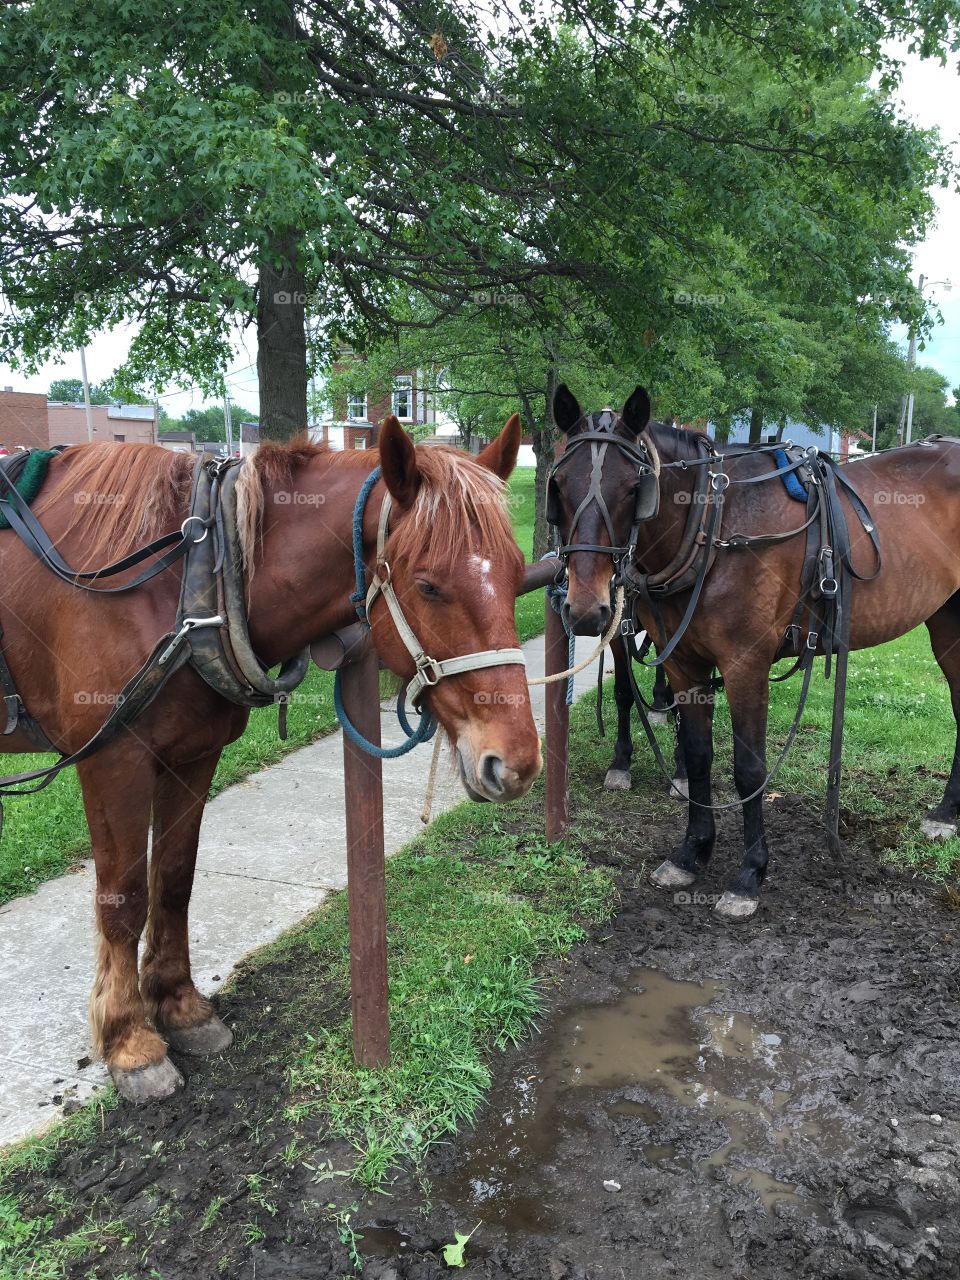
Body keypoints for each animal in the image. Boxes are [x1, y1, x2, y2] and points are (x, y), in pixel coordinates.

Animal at [0, 415, 541, 1102]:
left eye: (518, 572)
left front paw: (179, 1006)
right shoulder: (112, 760)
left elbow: (173, 878)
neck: (191, 579)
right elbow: (123, 899)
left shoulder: (192, 753)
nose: (516, 763)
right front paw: (129, 1041)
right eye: (428, 585)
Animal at [548, 384, 960, 918]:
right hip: (946, 619)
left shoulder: (746, 664)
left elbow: (749, 770)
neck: (715, 523)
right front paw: (691, 852)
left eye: (631, 490)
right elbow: (698, 755)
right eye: (559, 486)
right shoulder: (683, 664)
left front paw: (749, 874)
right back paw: (948, 812)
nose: (585, 609)